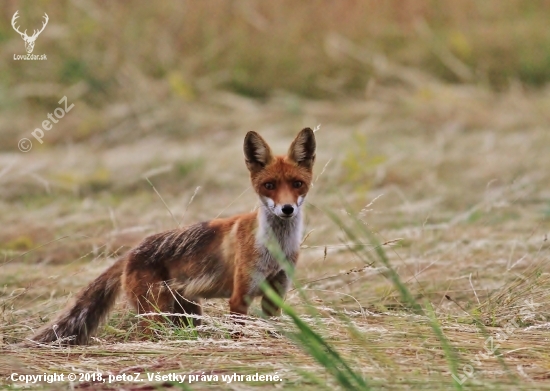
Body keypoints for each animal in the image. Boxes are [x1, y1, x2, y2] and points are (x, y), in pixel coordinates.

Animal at [29, 128, 314, 346]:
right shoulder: (239, 298)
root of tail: (131, 252)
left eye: (297, 184)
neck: (275, 249)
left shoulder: (275, 297)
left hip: (188, 315)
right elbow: (238, 333)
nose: (287, 209)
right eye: (269, 186)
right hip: (156, 315)